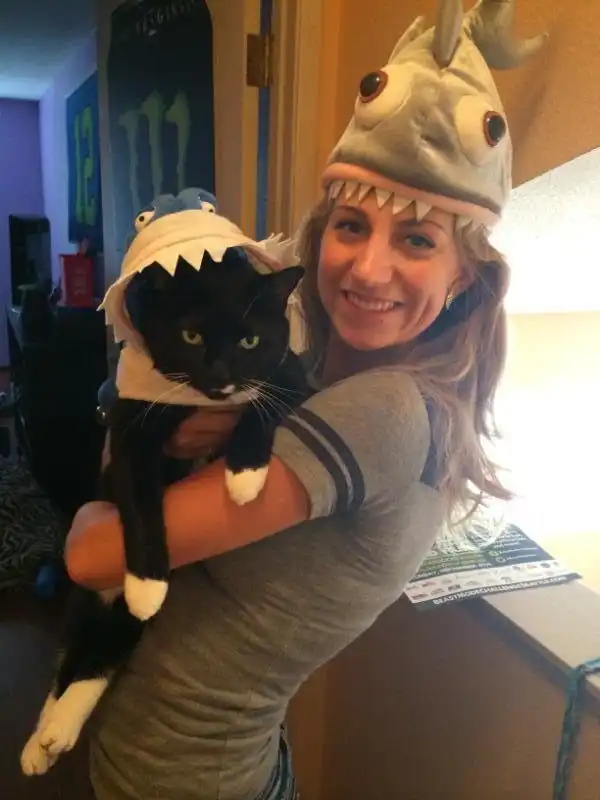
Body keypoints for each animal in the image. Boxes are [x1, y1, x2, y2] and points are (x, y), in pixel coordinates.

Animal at [20, 247, 310, 776]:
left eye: (251, 340)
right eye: (191, 336)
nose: (221, 377)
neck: (198, 403)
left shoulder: (294, 378)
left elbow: (262, 405)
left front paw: (244, 475)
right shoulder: (132, 425)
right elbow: (138, 498)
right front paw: (148, 583)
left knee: (101, 652)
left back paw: (56, 731)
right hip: (87, 600)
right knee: (74, 657)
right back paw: (44, 737)